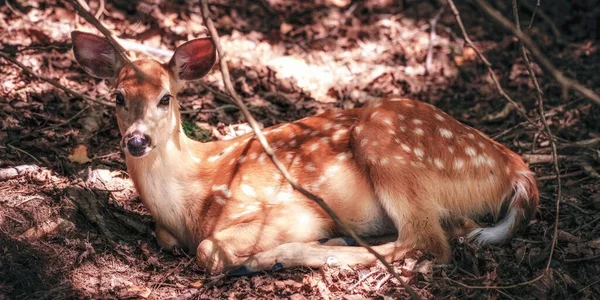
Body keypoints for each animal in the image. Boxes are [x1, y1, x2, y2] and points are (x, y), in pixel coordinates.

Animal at [71, 31, 540, 276]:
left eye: (166, 98)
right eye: (118, 97)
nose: (136, 141)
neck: (189, 197)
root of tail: (515, 167)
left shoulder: (286, 209)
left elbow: (208, 249)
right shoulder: (169, 230)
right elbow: (169, 238)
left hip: (384, 140)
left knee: (427, 242)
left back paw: (293, 253)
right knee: (452, 231)